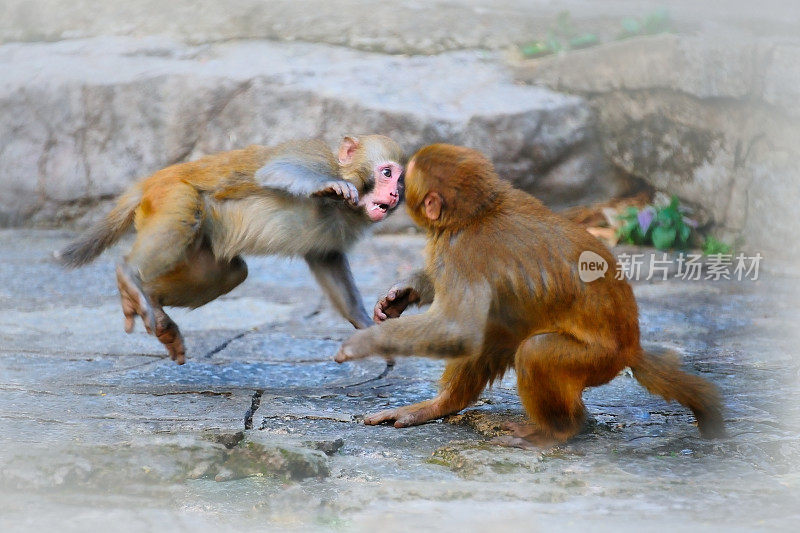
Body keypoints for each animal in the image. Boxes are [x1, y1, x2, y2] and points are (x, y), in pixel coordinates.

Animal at [58, 135, 404, 364]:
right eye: (387, 173)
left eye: (400, 182)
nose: (396, 194)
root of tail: (152, 179)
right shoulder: (314, 157)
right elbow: (277, 171)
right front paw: (328, 186)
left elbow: (326, 258)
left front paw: (365, 324)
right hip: (170, 194)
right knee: (185, 212)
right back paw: (129, 275)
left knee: (230, 273)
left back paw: (151, 301)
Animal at [334, 144, 728, 444]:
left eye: (402, 177)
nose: (394, 187)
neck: (477, 214)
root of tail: (632, 346)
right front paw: (402, 293)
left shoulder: (462, 251)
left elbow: (458, 328)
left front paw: (367, 342)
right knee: (497, 329)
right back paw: (443, 405)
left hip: (596, 360)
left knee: (535, 351)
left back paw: (557, 431)